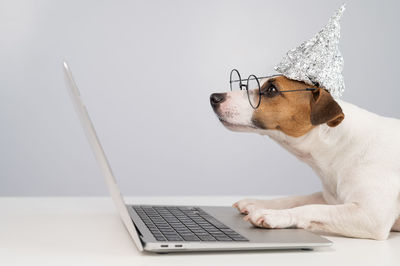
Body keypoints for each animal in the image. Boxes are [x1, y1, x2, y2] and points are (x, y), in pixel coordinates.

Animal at [209, 74, 400, 239]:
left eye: (271, 89)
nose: (214, 97)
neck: (339, 142)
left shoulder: (371, 216)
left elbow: (312, 208)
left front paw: (275, 215)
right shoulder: (329, 197)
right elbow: (298, 199)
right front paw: (257, 203)